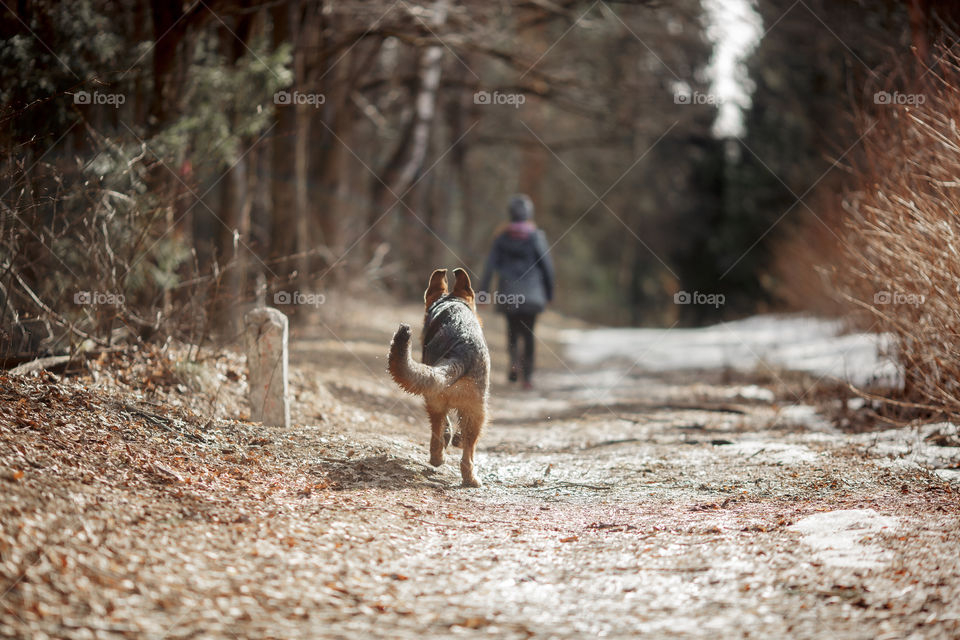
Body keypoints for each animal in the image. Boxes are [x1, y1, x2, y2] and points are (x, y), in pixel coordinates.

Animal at [388, 268, 492, 488]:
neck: (451, 304)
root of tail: (461, 350)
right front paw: (456, 439)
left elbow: (446, 425)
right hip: (476, 410)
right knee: (467, 451)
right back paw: (470, 478)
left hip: (435, 398)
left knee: (438, 431)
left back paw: (437, 458)